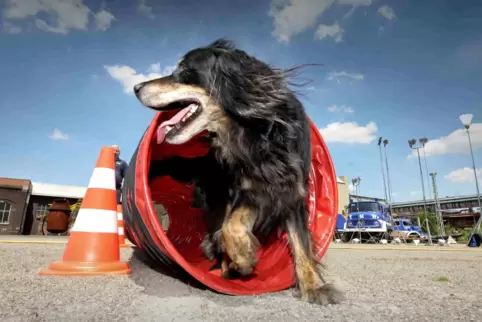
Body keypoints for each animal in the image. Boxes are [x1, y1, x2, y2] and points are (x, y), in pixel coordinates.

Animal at [134, 39, 342, 306]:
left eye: (184, 69)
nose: (136, 87)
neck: (253, 132)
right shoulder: (245, 188)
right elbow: (231, 225)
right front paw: (244, 258)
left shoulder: (291, 190)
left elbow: (301, 242)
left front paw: (314, 287)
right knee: (221, 226)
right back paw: (226, 266)